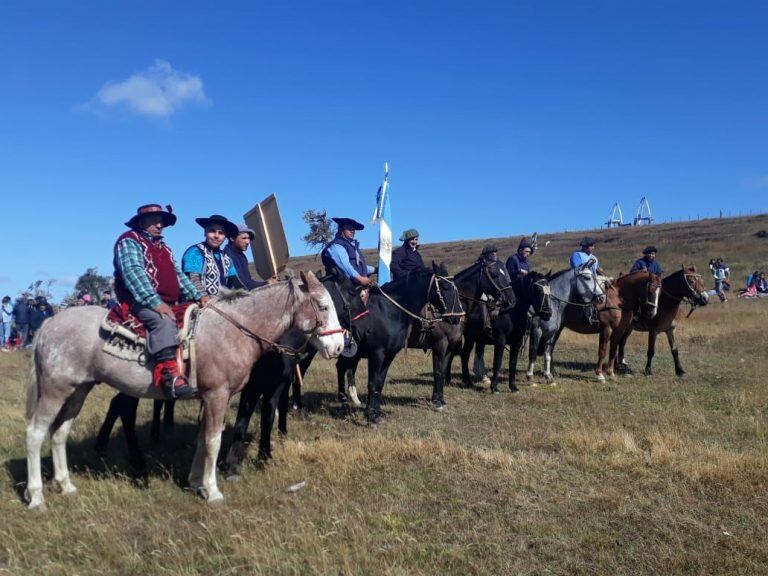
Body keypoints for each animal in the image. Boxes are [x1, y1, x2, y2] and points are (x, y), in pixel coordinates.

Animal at [24, 272, 342, 510]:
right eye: (323, 306)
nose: (339, 346)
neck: (234, 329)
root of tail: (49, 323)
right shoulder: (217, 395)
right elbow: (213, 440)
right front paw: (212, 491)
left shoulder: (215, 397)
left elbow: (203, 438)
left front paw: (195, 482)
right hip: (55, 390)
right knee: (36, 433)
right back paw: (37, 497)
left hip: (78, 390)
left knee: (60, 433)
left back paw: (66, 485)